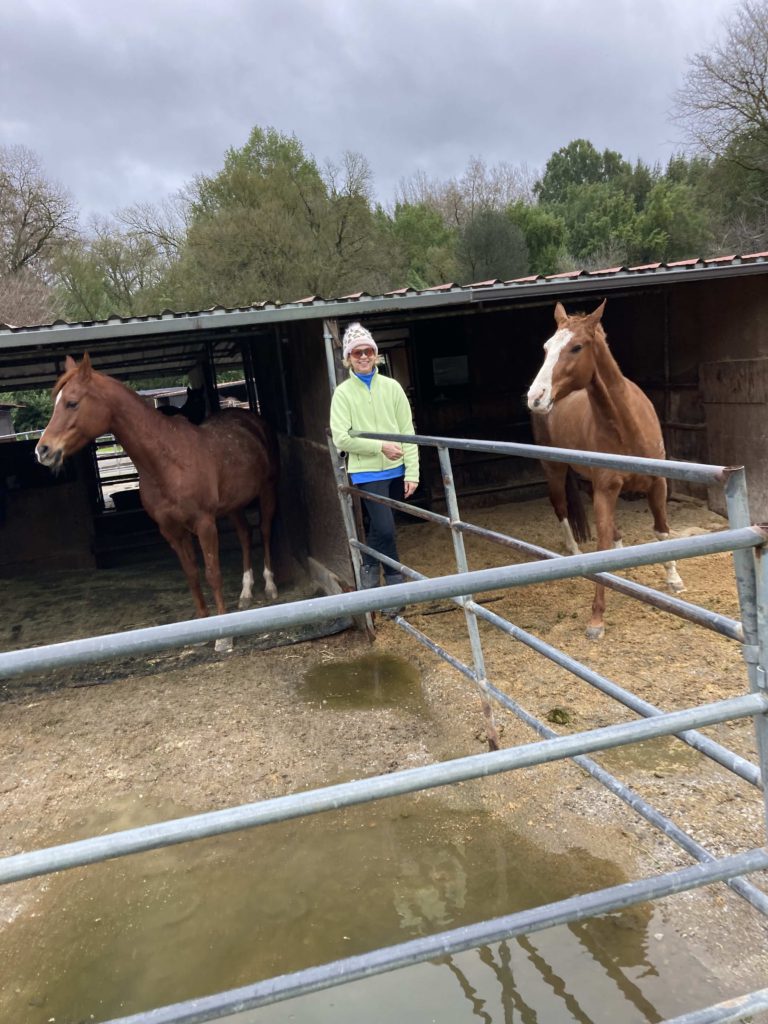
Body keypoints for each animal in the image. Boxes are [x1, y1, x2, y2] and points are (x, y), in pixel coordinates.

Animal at [35, 352, 280, 638]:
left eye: (72, 403)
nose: (43, 450)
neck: (168, 461)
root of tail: (251, 420)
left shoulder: (205, 524)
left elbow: (212, 573)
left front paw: (223, 637)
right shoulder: (171, 530)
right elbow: (192, 574)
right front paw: (202, 625)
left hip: (267, 489)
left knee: (264, 530)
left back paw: (270, 585)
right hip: (234, 505)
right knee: (245, 535)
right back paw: (246, 592)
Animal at [528, 299, 684, 638]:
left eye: (576, 347)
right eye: (546, 348)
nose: (536, 397)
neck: (626, 424)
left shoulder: (657, 484)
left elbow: (662, 531)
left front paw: (674, 579)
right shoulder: (605, 488)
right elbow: (601, 545)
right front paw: (596, 618)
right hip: (555, 469)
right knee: (560, 507)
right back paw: (574, 552)